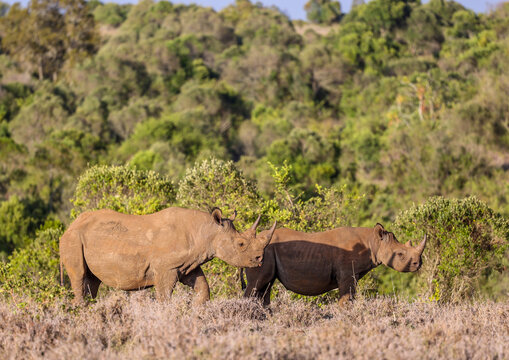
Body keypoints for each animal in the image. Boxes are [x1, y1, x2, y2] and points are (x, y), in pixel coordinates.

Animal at [60, 208, 276, 304]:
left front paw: (198, 311)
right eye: (241, 244)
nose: (260, 259)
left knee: (92, 282)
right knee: (79, 277)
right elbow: (164, 297)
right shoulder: (166, 268)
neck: (206, 231)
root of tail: (70, 226)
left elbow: (203, 288)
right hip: (73, 239)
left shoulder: (188, 266)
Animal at [241, 224, 424, 306]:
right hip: (261, 252)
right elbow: (346, 299)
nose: (418, 264)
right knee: (256, 285)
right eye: (400, 254)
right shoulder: (347, 274)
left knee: (265, 287)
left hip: (265, 253)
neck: (373, 242)